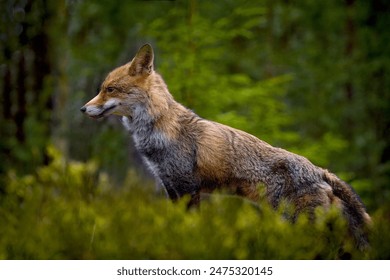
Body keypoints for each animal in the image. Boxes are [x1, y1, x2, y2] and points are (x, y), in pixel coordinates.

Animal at [81, 43, 372, 249]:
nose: (83, 109)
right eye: (102, 88)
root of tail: (320, 170)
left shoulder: (187, 187)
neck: (159, 128)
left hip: (299, 227)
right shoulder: (170, 186)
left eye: (110, 89)